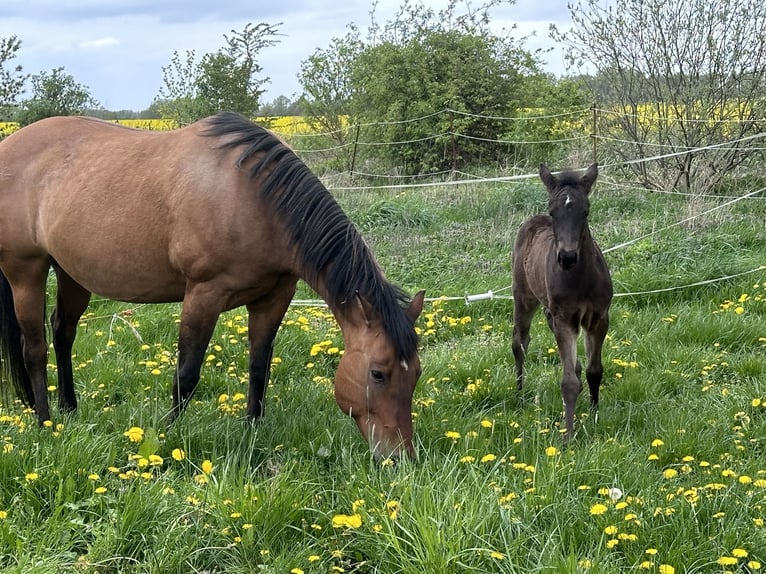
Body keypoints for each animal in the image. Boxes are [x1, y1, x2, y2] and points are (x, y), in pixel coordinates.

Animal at [0, 112, 425, 460]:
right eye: (378, 373)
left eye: (417, 373)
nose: (399, 457)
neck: (253, 197)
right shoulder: (204, 294)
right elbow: (187, 373)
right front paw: (168, 435)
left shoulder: (275, 297)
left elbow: (259, 365)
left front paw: (253, 427)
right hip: (26, 272)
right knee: (34, 348)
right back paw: (45, 422)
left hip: (71, 273)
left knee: (62, 333)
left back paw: (70, 410)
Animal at [511, 163, 612, 442]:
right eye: (552, 211)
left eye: (585, 211)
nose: (567, 257)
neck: (581, 279)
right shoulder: (565, 319)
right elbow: (568, 383)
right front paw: (568, 437)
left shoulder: (599, 318)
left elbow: (593, 370)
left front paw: (595, 412)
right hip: (523, 298)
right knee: (519, 342)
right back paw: (519, 393)